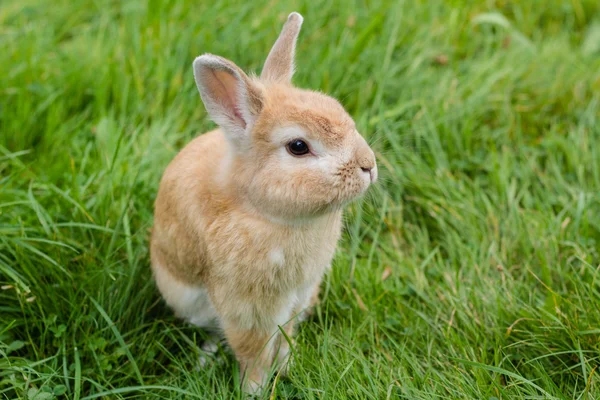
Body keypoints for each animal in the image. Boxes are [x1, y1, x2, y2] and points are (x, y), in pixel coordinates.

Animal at [150, 11, 376, 394]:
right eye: (298, 147)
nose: (369, 165)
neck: (261, 211)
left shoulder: (296, 297)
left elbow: (285, 338)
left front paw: (287, 368)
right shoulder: (246, 310)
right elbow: (253, 354)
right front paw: (254, 390)